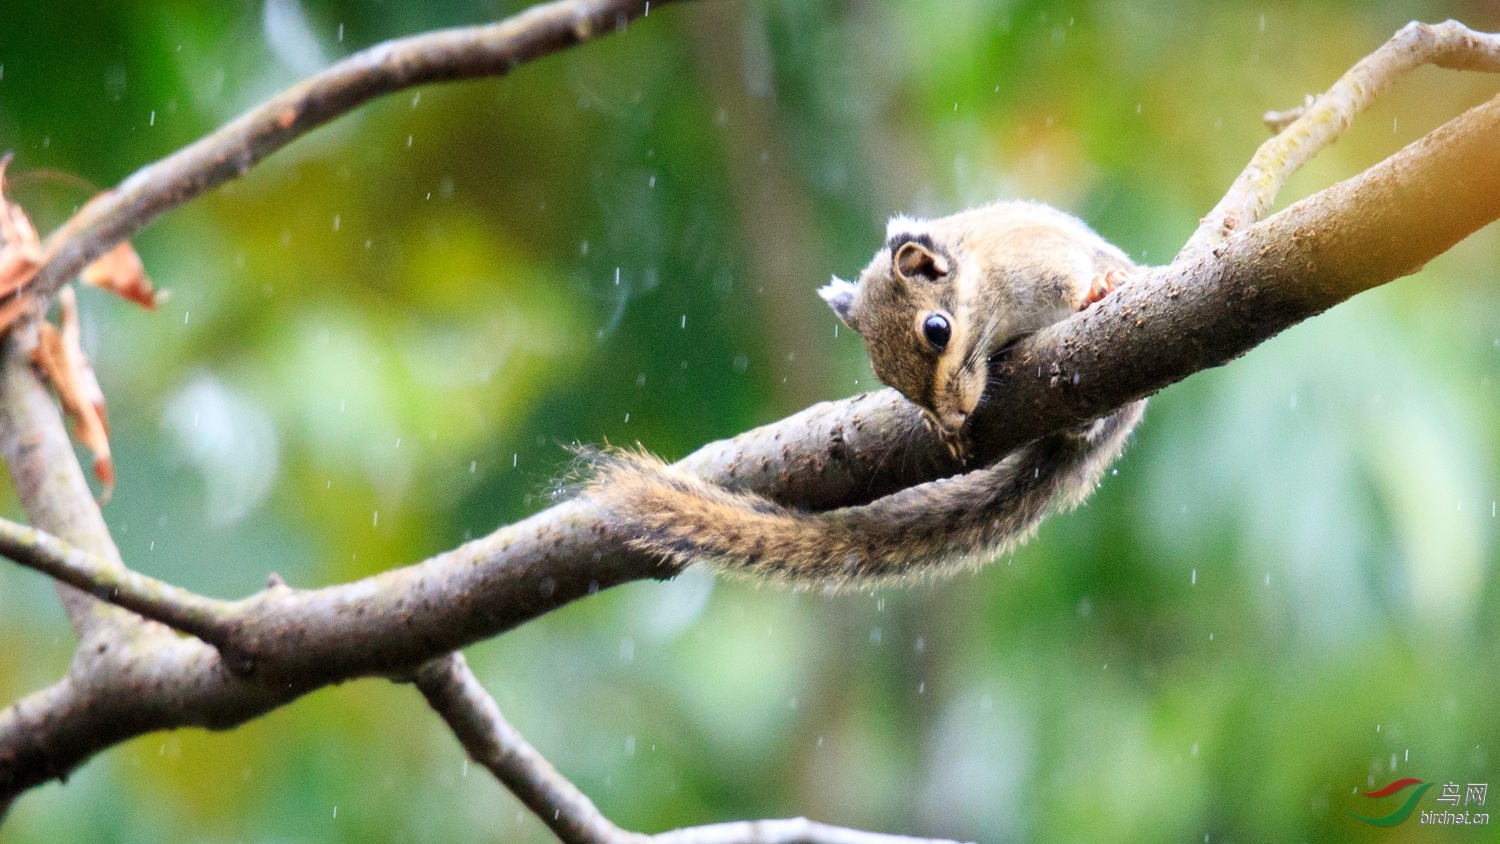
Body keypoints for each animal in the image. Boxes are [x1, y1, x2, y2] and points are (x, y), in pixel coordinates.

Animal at [579, 200, 1140, 584]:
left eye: (937, 330)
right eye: (883, 376)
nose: (952, 418)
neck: (991, 297)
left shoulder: (1042, 260)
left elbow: (1074, 281)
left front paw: (1097, 289)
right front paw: (946, 433)